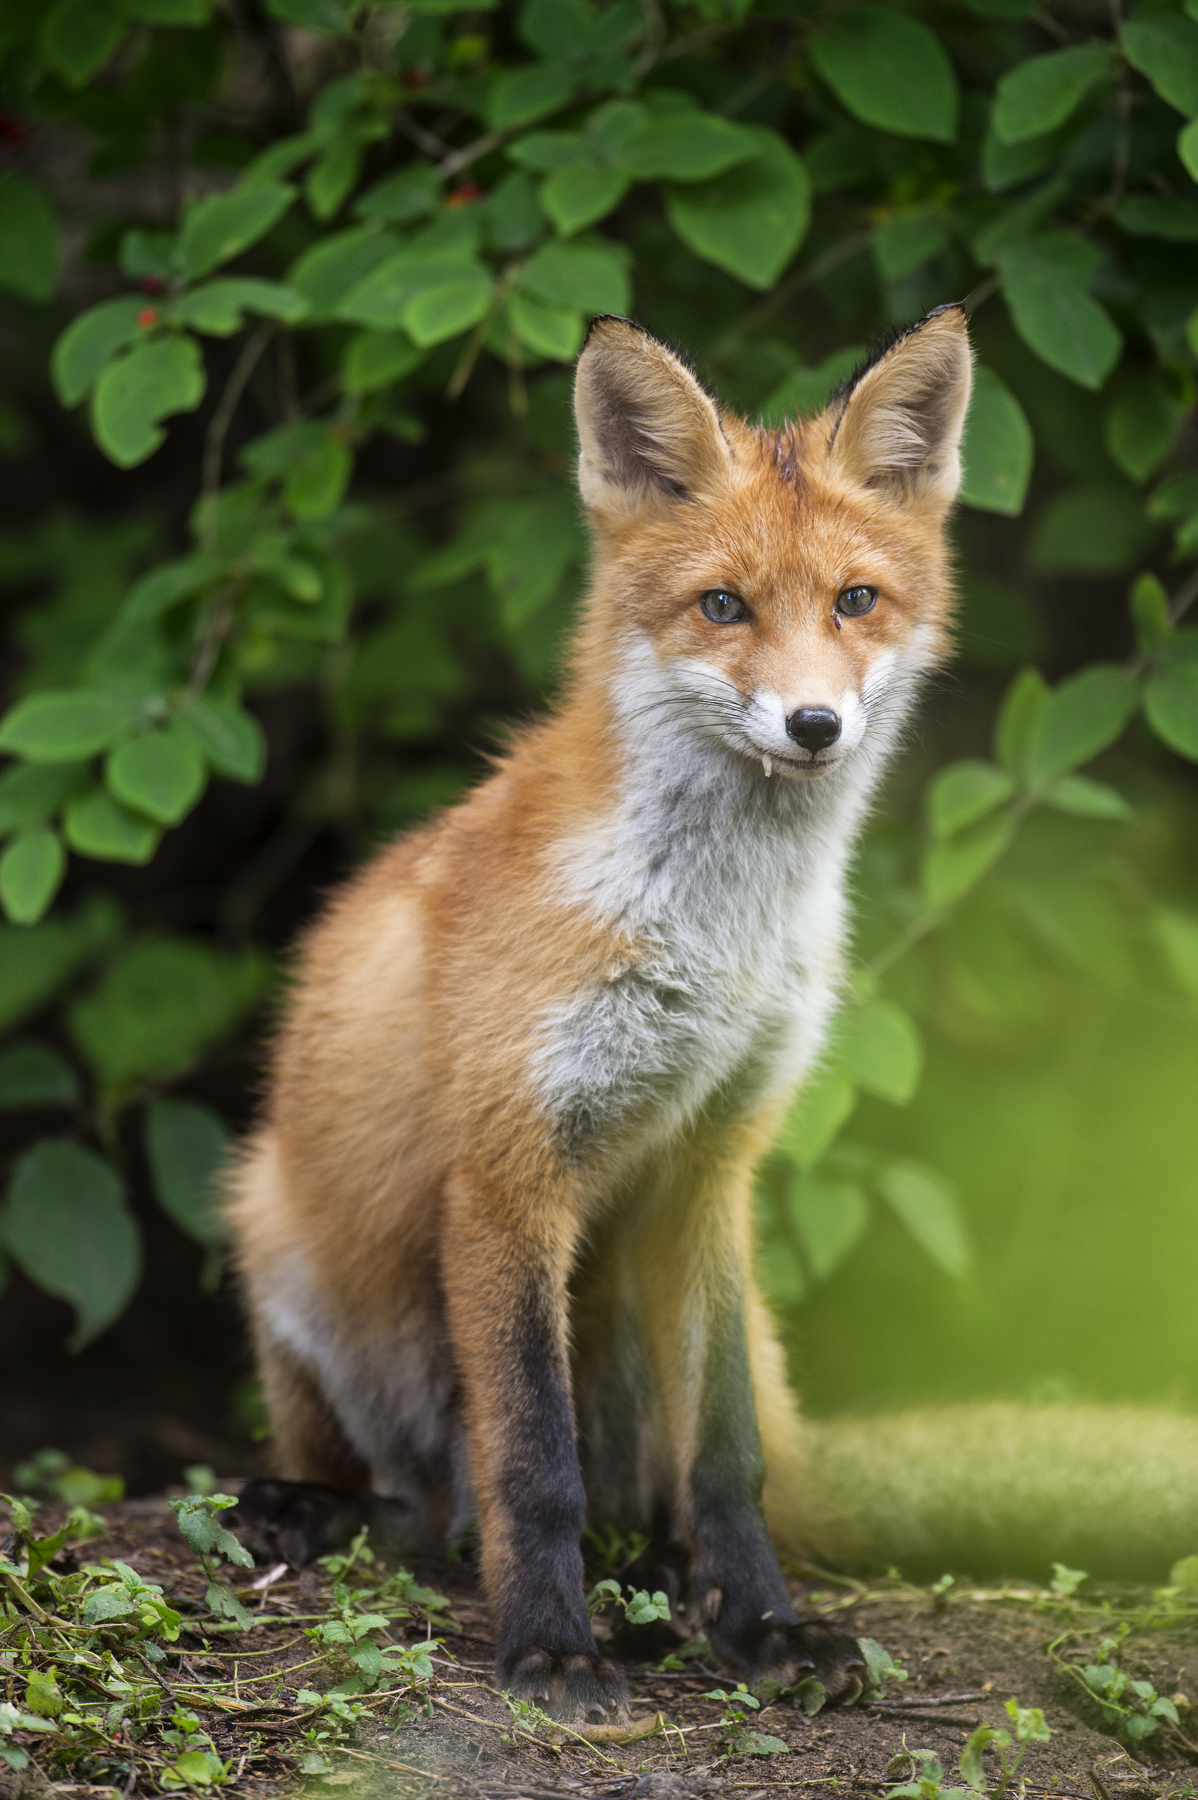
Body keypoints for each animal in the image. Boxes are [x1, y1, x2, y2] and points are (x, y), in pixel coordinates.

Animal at [226, 313, 1198, 1728]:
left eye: (855, 601)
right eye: (723, 606)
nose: (814, 723)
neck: (713, 935)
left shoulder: (712, 1166)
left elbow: (728, 1458)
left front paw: (764, 1630)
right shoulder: (507, 1172)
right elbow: (532, 1462)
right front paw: (546, 1650)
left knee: (657, 1495)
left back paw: (662, 1590)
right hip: (277, 1232)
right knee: (417, 1494)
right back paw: (323, 1510)